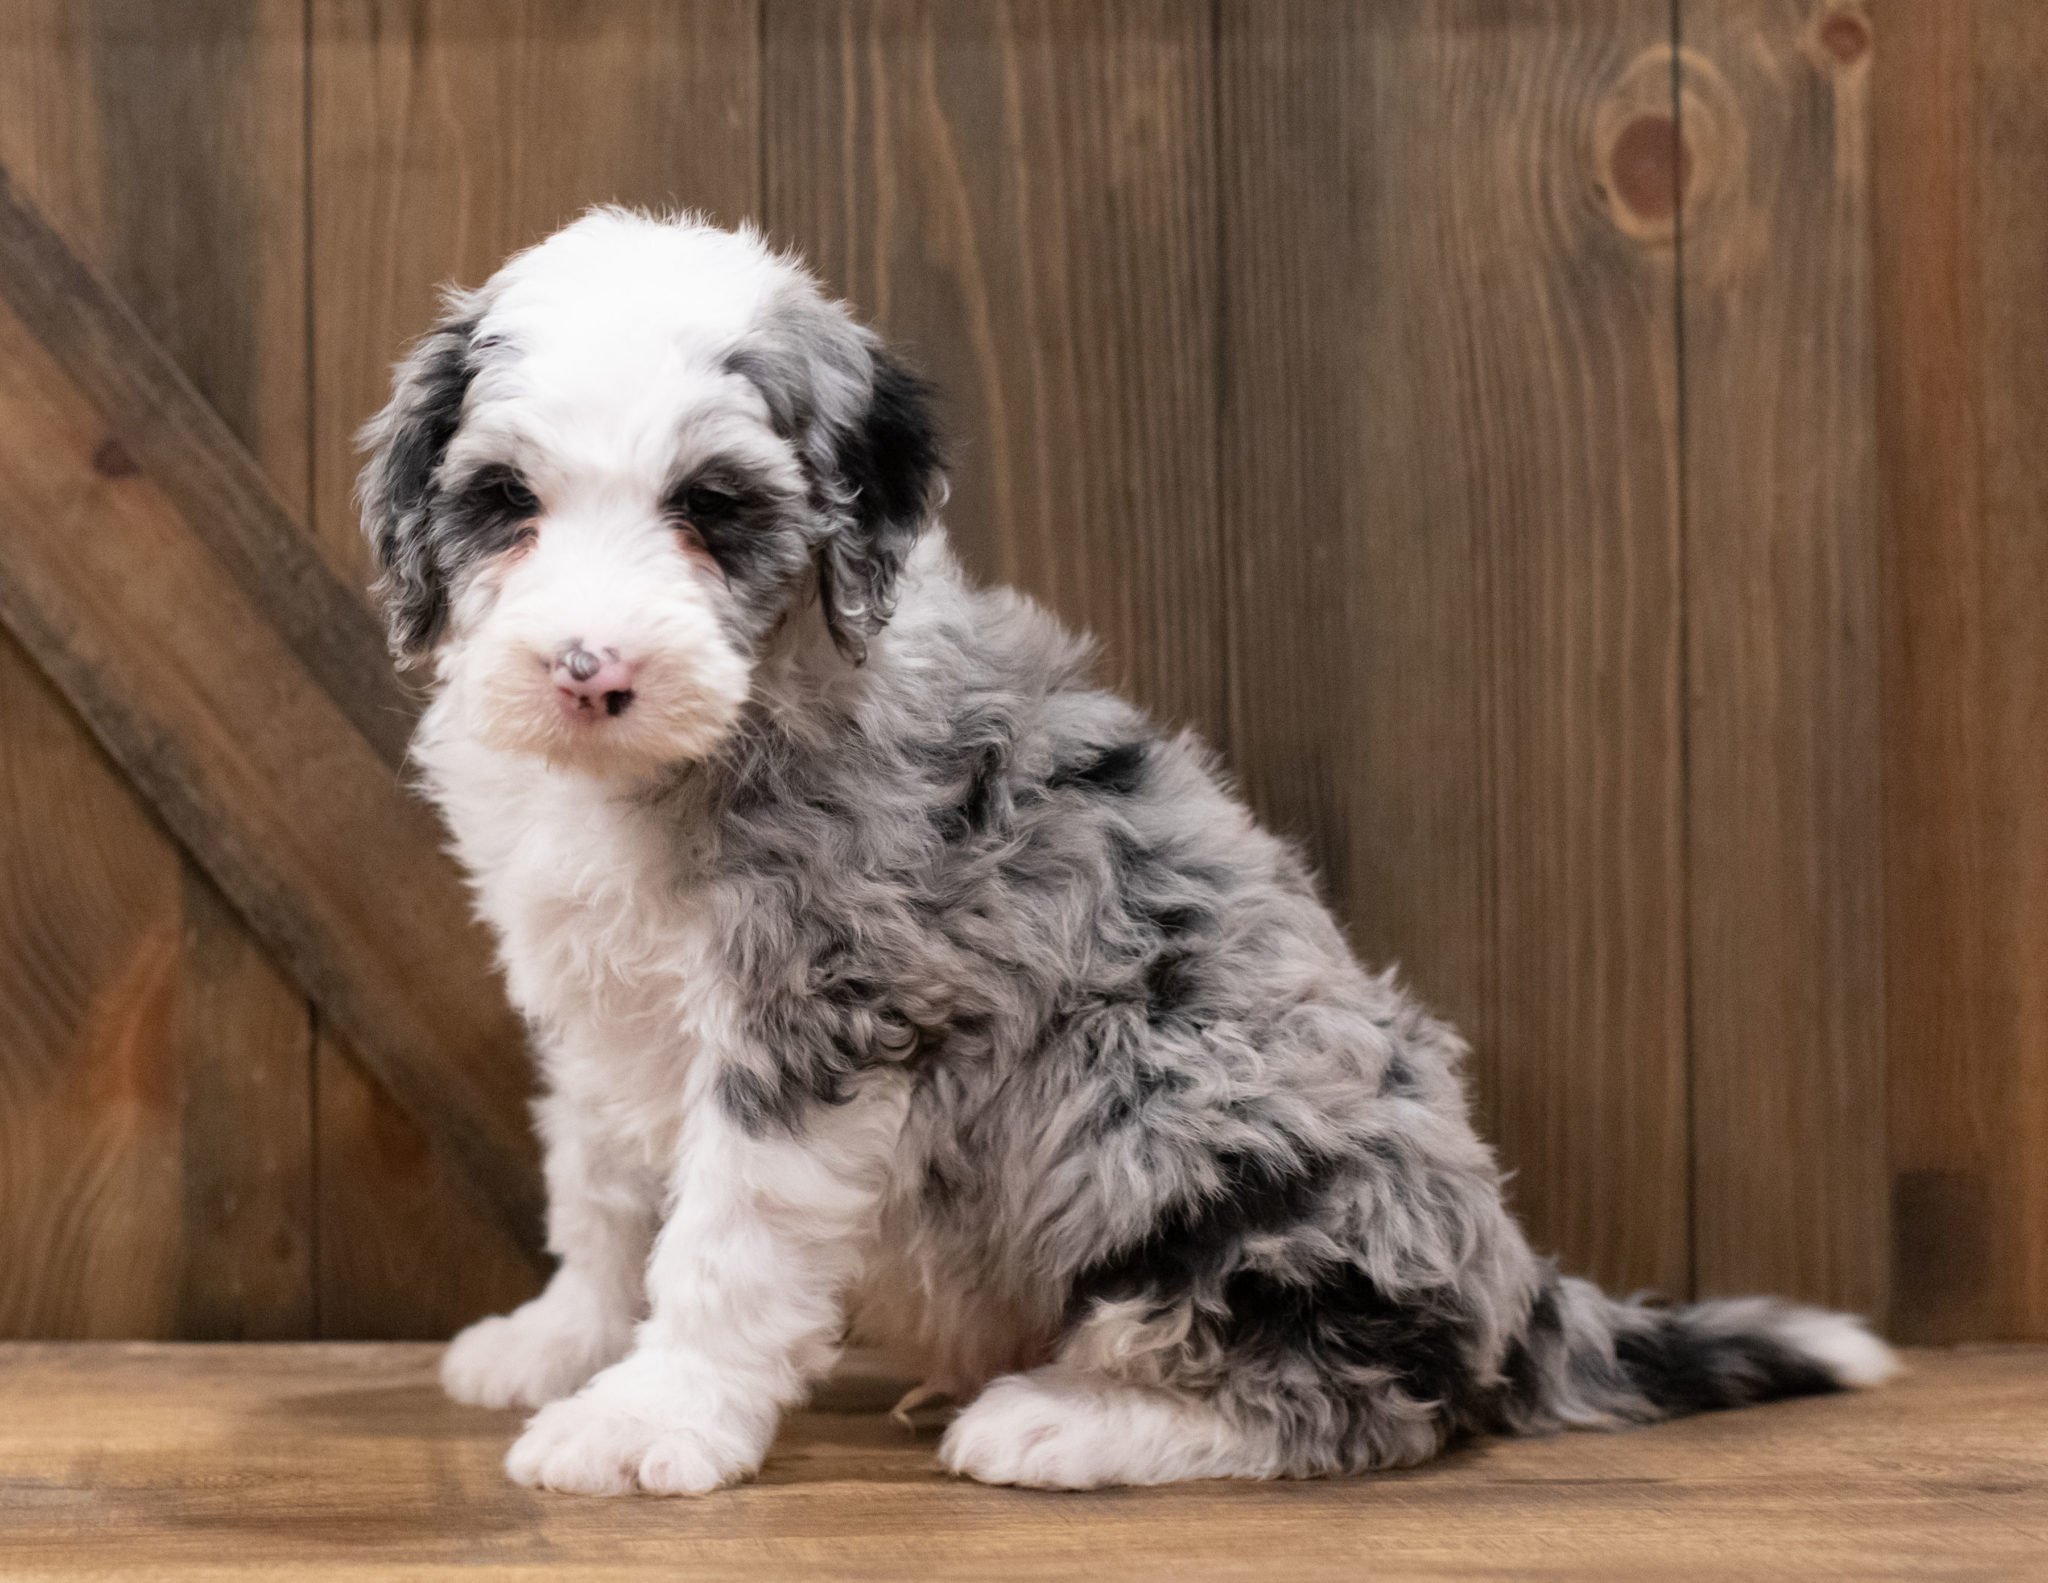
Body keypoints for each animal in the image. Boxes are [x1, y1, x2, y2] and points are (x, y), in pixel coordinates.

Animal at [356, 203, 1900, 1490]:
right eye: (507, 503)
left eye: (711, 508)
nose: (589, 670)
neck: (697, 741)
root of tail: (1524, 1293)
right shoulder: (599, 1000)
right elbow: (606, 1188)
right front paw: (562, 1341)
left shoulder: (827, 1008)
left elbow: (723, 1240)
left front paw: (649, 1416)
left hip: (1174, 1090)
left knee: (1358, 1398)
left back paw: (1064, 1418)